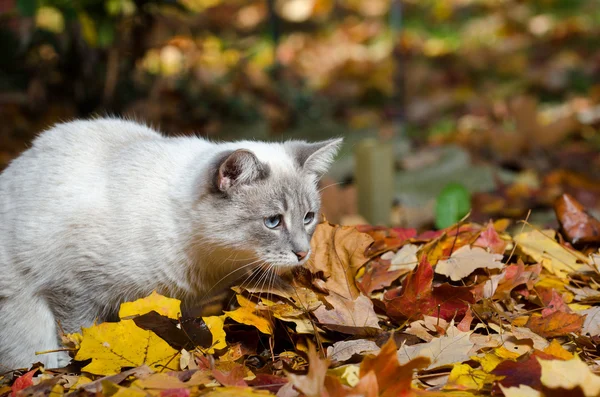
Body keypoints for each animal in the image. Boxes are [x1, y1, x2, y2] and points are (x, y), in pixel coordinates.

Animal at [0, 117, 342, 368]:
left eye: (308, 217)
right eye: (273, 221)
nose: (303, 253)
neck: (211, 263)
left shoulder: (188, 307)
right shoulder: (73, 291)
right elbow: (81, 341)